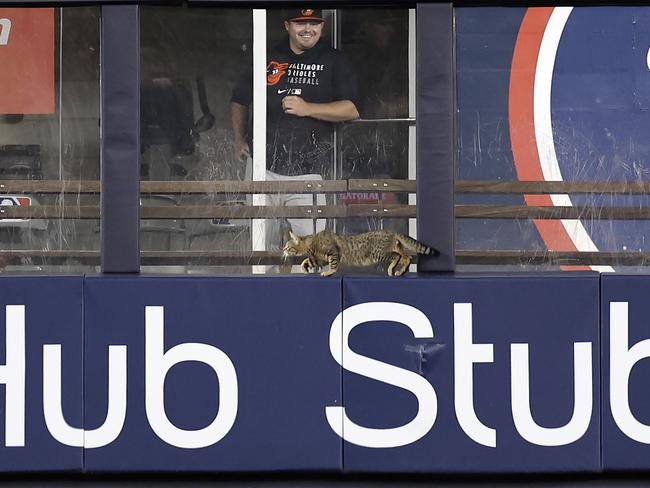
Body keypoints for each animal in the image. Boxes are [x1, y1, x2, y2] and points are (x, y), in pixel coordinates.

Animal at [280, 230, 438, 276]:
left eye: (287, 247)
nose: (283, 251)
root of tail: (391, 231)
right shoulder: (320, 258)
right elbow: (307, 260)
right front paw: (303, 267)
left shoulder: (333, 253)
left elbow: (333, 265)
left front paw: (328, 272)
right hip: (395, 248)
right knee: (407, 257)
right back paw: (400, 271)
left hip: (378, 253)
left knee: (398, 256)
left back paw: (391, 269)